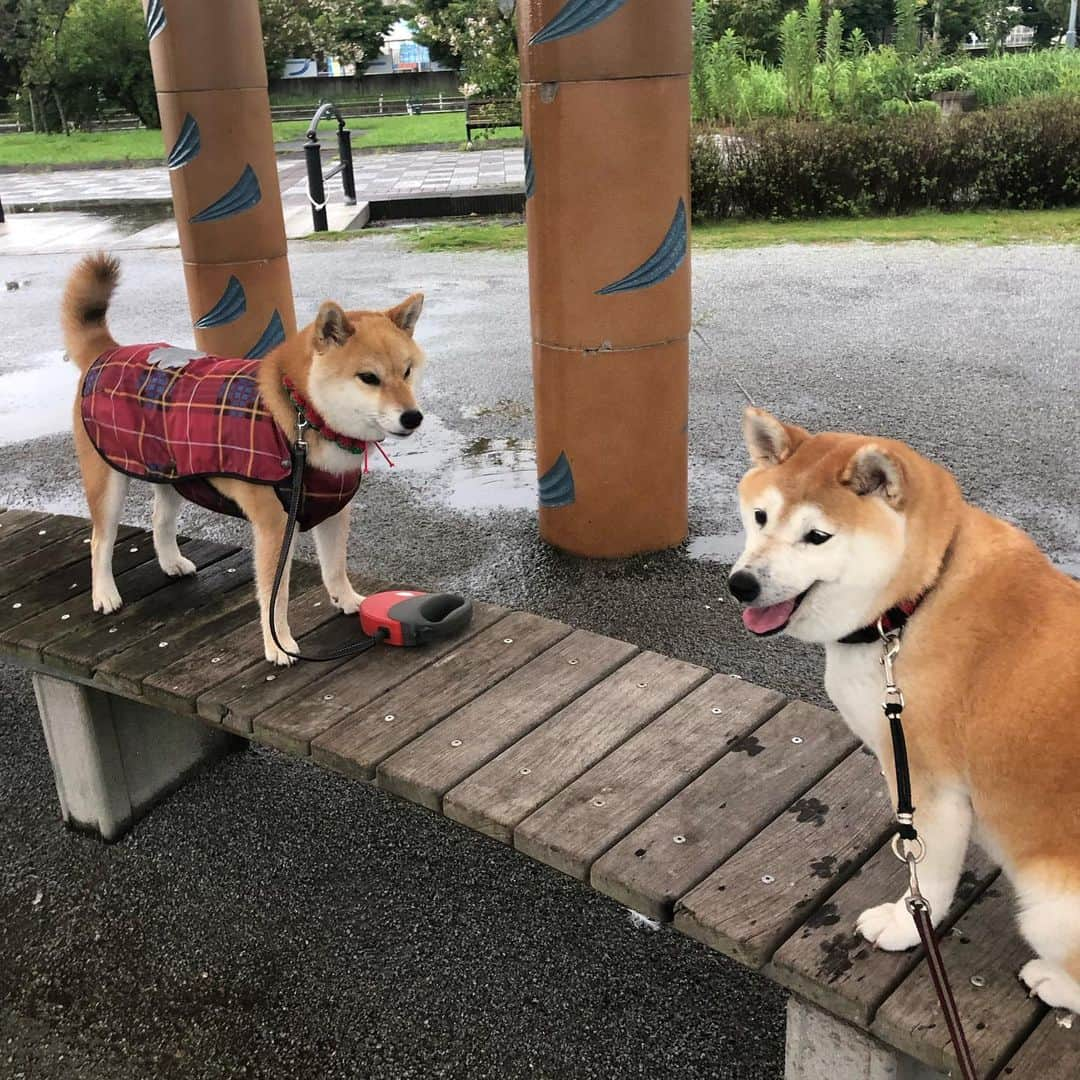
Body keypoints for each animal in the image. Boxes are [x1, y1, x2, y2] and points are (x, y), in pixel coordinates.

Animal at [61, 253, 425, 665]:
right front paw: (277, 644)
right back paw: (105, 593)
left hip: (172, 471)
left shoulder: (334, 509)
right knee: (100, 541)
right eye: (368, 378)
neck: (301, 413)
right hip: (107, 482)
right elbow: (274, 595)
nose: (413, 417)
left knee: (160, 521)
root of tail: (107, 350)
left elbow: (335, 567)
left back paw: (171, 562)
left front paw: (347, 600)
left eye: (407, 371)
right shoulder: (274, 527)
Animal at [730, 408, 1080, 1015]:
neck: (914, 603)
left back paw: (1053, 980)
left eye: (817, 536)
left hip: (1050, 908)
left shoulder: (931, 786)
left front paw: (904, 924)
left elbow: (929, 873)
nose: (741, 584)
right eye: (760, 516)